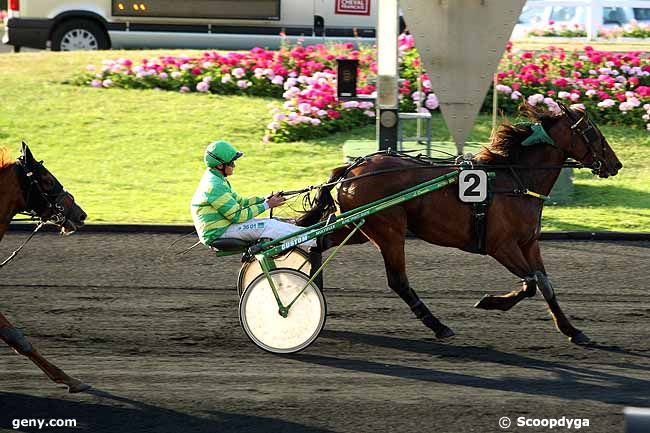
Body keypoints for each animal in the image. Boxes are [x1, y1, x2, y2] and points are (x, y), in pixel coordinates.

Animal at [296, 104, 620, 344]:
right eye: (590, 131)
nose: (615, 164)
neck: (515, 179)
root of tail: (352, 168)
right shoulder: (500, 245)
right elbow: (530, 283)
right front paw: (490, 302)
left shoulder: (529, 243)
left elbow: (545, 283)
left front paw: (572, 330)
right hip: (388, 231)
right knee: (398, 280)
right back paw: (438, 326)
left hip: (361, 227)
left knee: (318, 244)